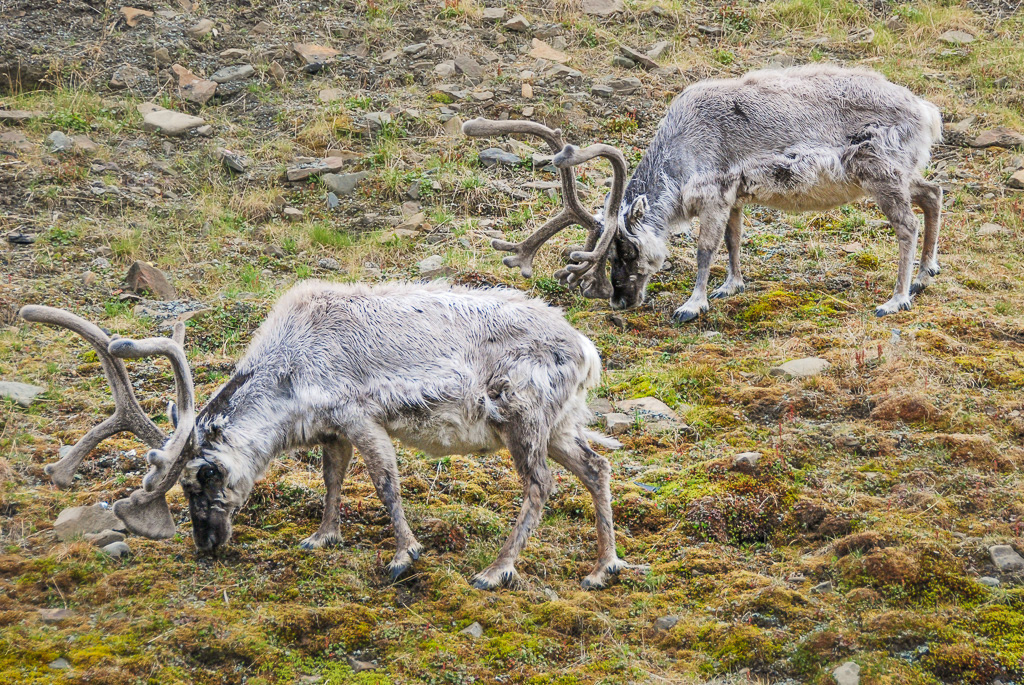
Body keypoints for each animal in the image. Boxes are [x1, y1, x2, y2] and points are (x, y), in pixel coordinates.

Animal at [20, 280, 635, 590]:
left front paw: (404, 555)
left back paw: (496, 570)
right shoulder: (332, 430)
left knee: (541, 485)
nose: (206, 544)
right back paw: (602, 568)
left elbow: (385, 483)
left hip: (521, 418)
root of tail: (587, 348)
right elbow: (332, 480)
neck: (290, 374)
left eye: (204, 476)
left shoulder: (360, 416)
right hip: (559, 424)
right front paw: (322, 537)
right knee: (597, 468)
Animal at [464, 64, 944, 323]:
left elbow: (704, 249)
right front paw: (730, 286)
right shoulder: (735, 196)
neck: (679, 152)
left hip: (879, 171)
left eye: (626, 250)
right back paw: (925, 275)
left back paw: (896, 299)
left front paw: (692, 305)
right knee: (934, 191)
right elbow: (733, 241)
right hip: (900, 173)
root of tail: (927, 110)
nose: (620, 299)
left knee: (907, 225)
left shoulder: (713, 194)